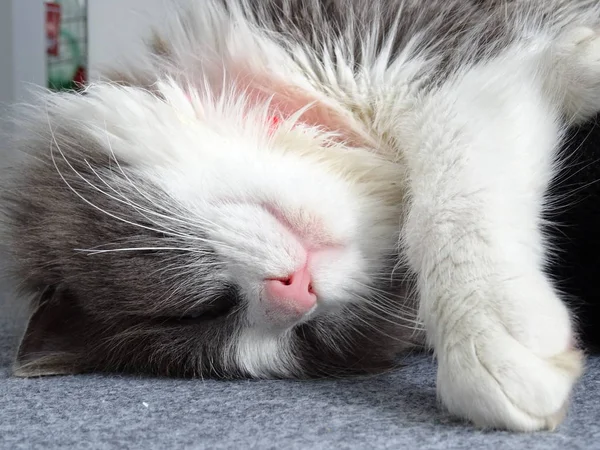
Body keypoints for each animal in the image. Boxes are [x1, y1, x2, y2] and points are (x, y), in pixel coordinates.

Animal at [1, 0, 600, 432]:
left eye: (199, 308)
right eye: (304, 338)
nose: (296, 294)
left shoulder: (438, 48)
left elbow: (449, 195)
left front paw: (487, 334)